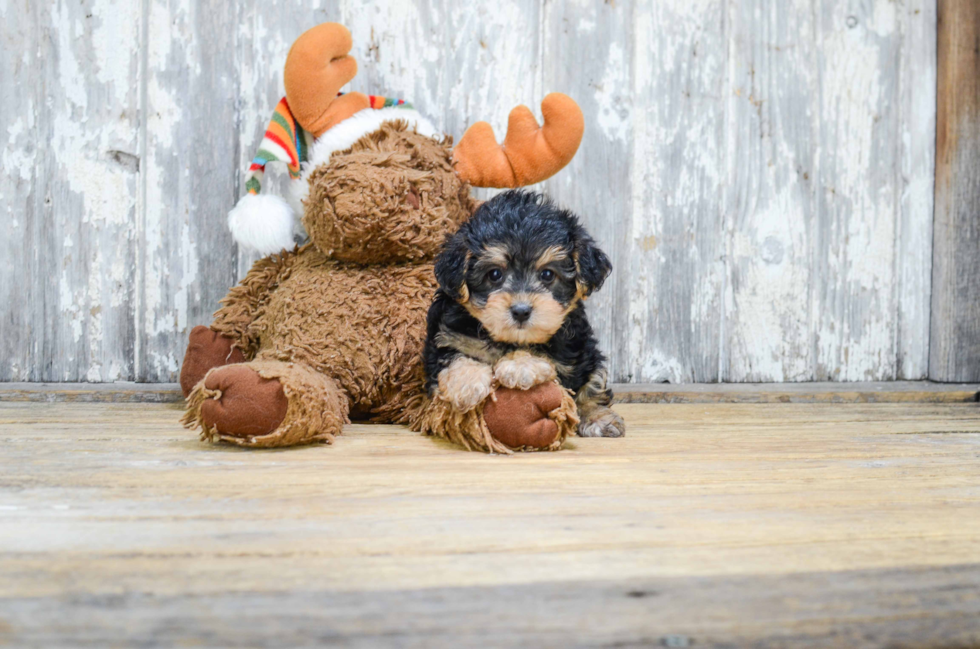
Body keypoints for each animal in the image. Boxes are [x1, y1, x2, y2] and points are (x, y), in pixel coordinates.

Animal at [424, 190, 624, 438]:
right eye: (494, 274)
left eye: (547, 274)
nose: (521, 311)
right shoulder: (447, 335)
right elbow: (455, 357)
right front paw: (468, 385)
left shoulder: (568, 343)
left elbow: (542, 351)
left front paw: (521, 366)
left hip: (589, 355)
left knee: (593, 383)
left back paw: (599, 417)